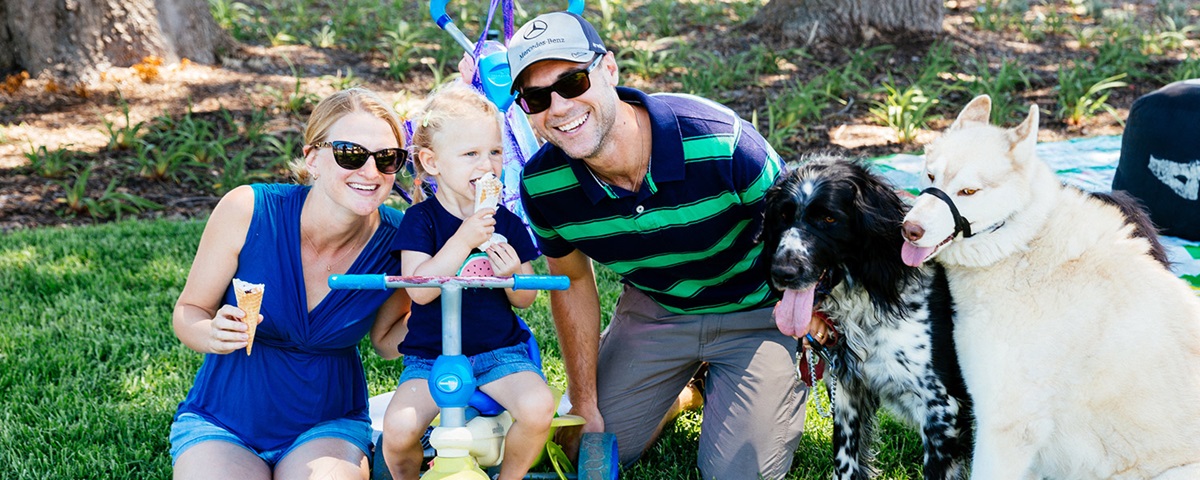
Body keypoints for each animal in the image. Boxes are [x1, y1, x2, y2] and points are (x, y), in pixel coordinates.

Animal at [763, 157, 969, 480]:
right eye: (782, 216)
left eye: (829, 218)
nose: (781, 273)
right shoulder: (848, 393)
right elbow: (846, 462)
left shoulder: (941, 410)